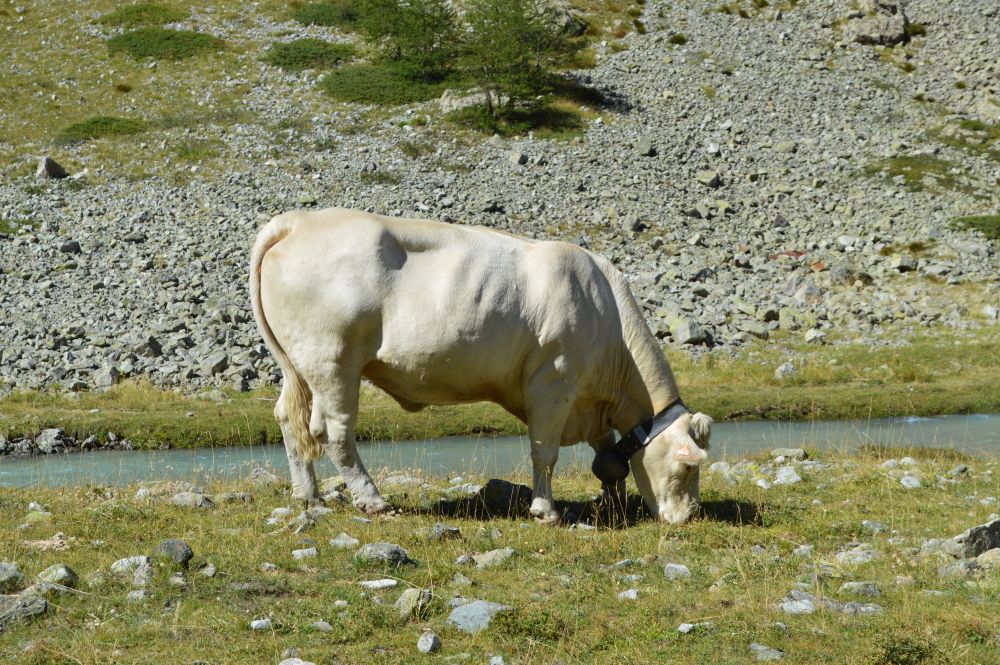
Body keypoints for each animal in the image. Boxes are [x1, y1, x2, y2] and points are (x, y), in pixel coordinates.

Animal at [249, 207, 712, 524]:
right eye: (689, 467)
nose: (689, 516)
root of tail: (297, 222)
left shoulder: (588, 401)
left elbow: (607, 456)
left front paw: (611, 502)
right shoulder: (555, 379)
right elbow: (545, 451)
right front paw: (545, 510)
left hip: (299, 366)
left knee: (289, 420)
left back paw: (308, 495)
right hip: (333, 361)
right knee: (334, 431)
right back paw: (372, 499)